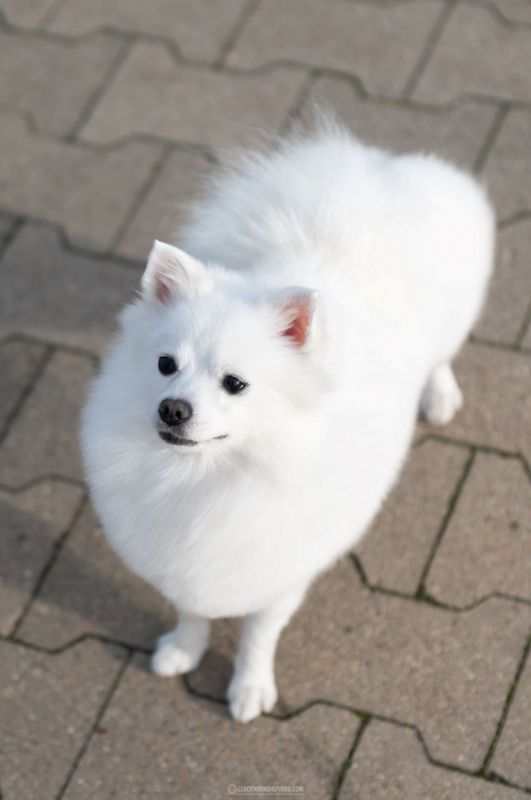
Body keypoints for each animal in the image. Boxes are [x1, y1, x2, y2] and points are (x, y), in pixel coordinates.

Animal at [81, 121, 494, 722]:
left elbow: (259, 634)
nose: (172, 408)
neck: (209, 475)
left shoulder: (278, 567)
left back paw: (439, 395)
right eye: (165, 365)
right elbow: (191, 608)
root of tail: (370, 180)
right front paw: (184, 649)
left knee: (442, 357)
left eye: (235, 383)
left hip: (452, 323)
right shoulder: (183, 555)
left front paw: (250, 687)